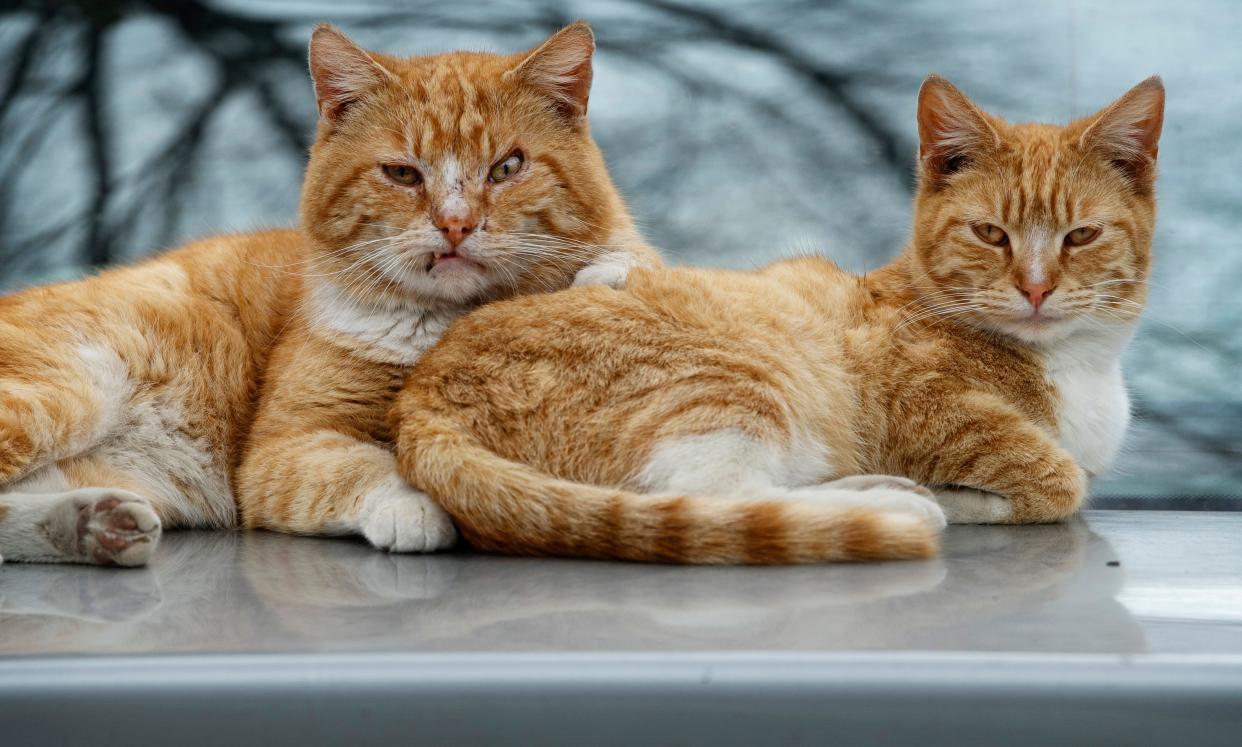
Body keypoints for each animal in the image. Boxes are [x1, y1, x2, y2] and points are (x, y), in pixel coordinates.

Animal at [0, 20, 660, 561]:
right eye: (402, 173)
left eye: (507, 167)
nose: (455, 223)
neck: (443, 322)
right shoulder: (284, 446)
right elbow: (360, 465)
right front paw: (414, 506)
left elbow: (625, 263)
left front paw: (608, 273)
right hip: (65, 393)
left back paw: (94, 525)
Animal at [394, 77, 1162, 564]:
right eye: (991, 234)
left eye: (1081, 237)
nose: (1035, 289)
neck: (1079, 366)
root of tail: (420, 397)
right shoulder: (922, 405)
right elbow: (1058, 479)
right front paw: (966, 494)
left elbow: (1069, 477)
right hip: (736, 381)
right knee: (717, 501)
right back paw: (889, 504)